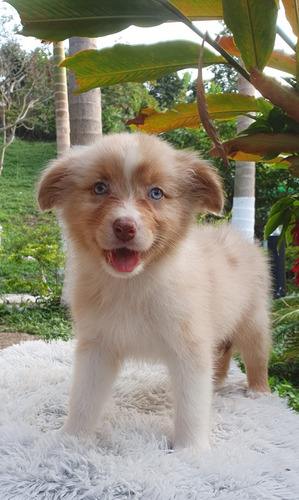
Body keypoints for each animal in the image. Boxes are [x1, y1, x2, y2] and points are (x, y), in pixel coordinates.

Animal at [37, 131, 272, 452]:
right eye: (100, 188)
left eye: (156, 193)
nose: (125, 227)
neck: (134, 284)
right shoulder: (96, 345)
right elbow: (83, 397)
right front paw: (72, 438)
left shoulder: (190, 348)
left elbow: (192, 407)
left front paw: (191, 451)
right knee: (222, 352)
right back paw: (217, 382)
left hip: (253, 318)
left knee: (256, 353)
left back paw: (259, 390)